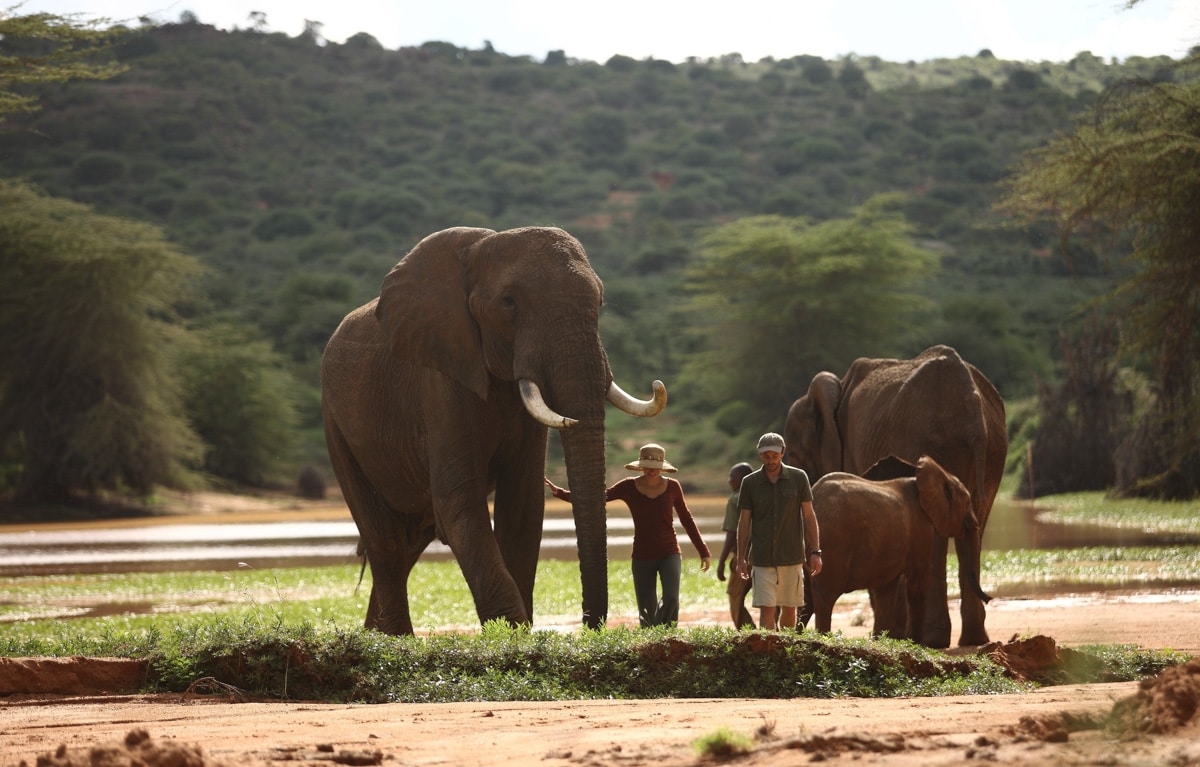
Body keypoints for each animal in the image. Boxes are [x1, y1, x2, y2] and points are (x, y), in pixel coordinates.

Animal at [324, 226, 672, 633]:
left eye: (600, 303)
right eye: (509, 303)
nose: (590, 624)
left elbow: (523, 506)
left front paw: (516, 632)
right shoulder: (442, 380)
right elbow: (460, 503)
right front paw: (512, 632)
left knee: (408, 542)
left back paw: (376, 634)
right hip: (335, 423)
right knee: (386, 542)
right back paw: (396, 638)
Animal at [806, 453, 993, 643]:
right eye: (968, 503)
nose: (989, 599)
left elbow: (886, 590)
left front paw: (881, 641)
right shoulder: (921, 528)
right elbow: (918, 583)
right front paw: (916, 644)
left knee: (807, 598)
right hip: (833, 544)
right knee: (825, 597)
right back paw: (822, 638)